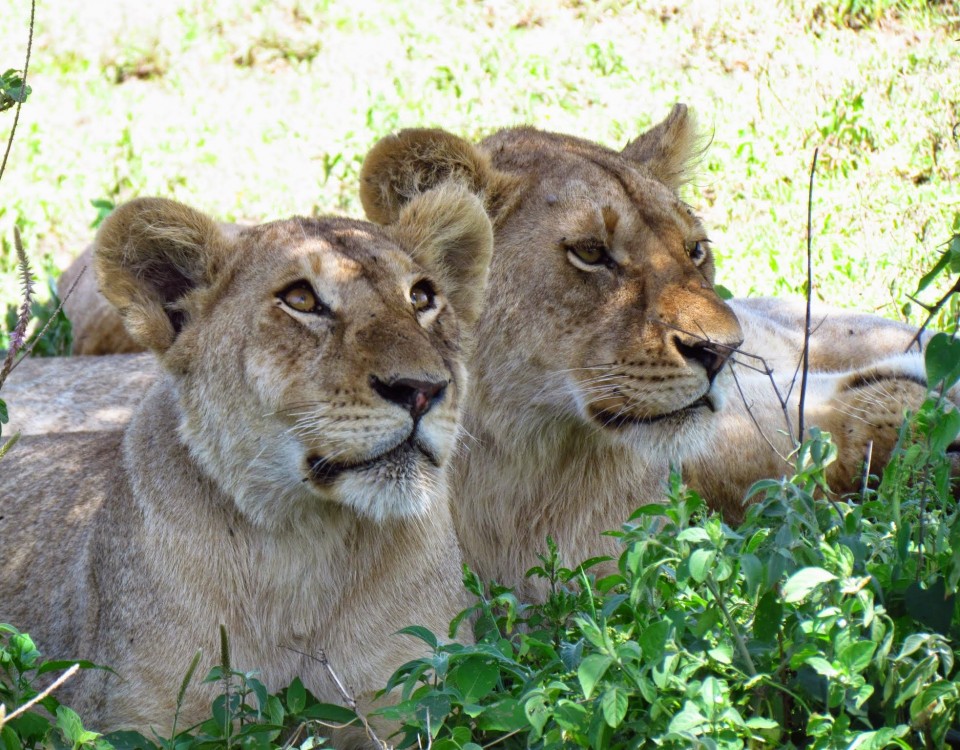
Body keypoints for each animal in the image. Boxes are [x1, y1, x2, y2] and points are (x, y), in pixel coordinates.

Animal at [0, 184, 492, 748]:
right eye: (301, 300)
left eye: (422, 298)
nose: (422, 390)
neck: (305, 549)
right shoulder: (131, 721)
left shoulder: (414, 701)